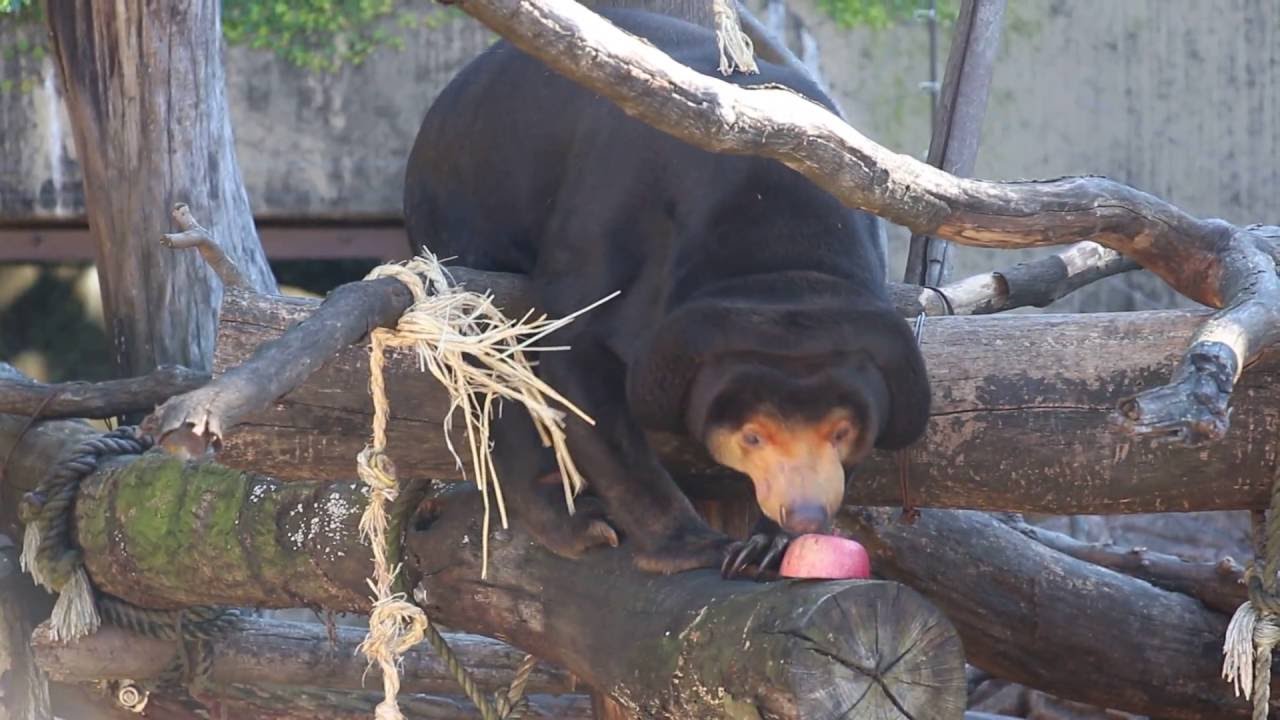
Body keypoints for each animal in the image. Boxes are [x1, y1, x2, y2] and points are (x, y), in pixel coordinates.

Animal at [403, 8, 931, 576]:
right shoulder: (614, 210)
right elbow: (575, 355)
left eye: (841, 431)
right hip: (456, 215)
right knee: (486, 361)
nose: (804, 515)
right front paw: (691, 545)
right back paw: (569, 520)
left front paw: (766, 545)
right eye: (751, 435)